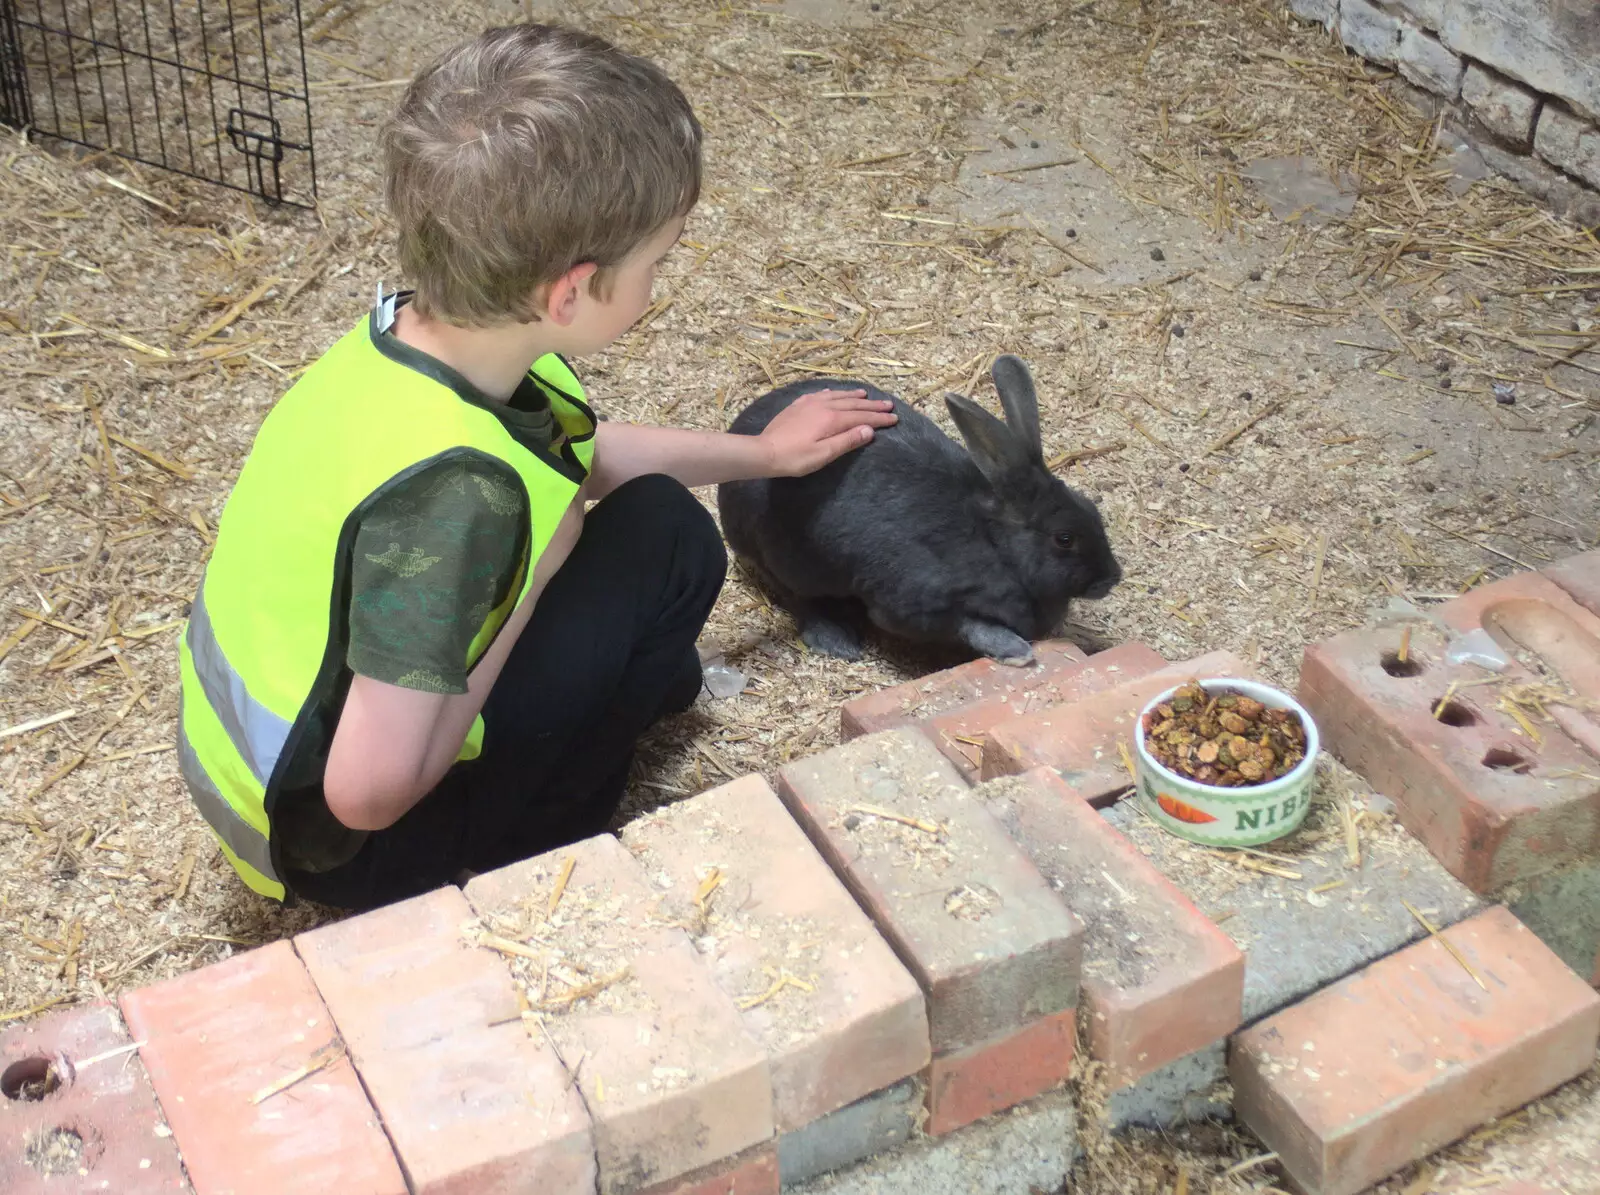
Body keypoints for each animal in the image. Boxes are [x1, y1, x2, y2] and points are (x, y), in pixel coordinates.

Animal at [720, 355, 1120, 671]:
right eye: (1064, 539)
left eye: (1091, 509)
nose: (1112, 578)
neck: (995, 544)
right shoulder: (916, 604)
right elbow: (970, 625)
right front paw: (1016, 652)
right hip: (786, 558)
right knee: (796, 596)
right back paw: (835, 639)